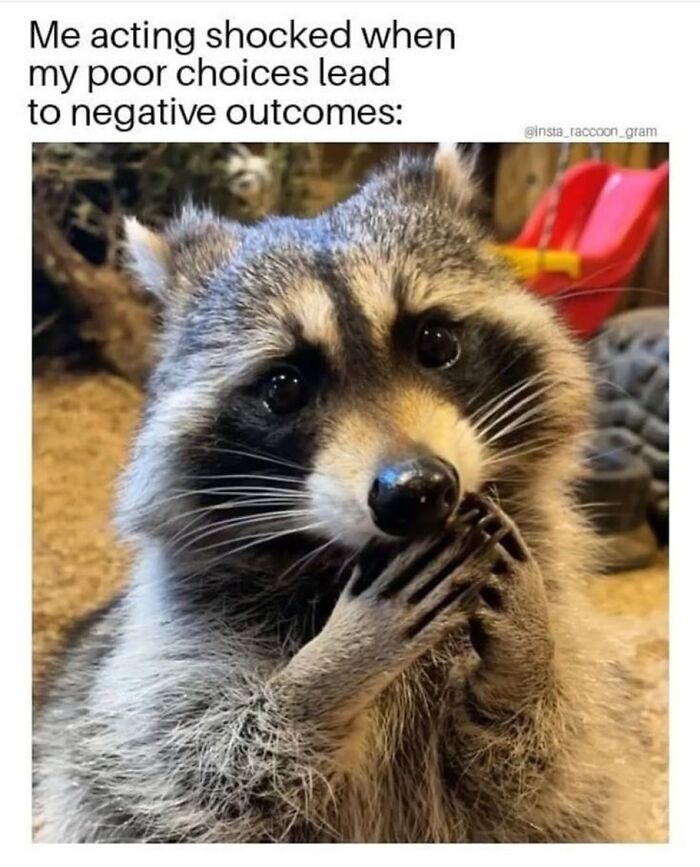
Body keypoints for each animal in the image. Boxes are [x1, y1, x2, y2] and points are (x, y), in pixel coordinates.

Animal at [33, 144, 647, 843]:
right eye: (284, 387)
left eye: (436, 342)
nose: (417, 491)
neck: (336, 557)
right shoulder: (162, 664)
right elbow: (193, 771)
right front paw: (325, 674)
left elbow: (555, 770)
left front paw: (527, 657)